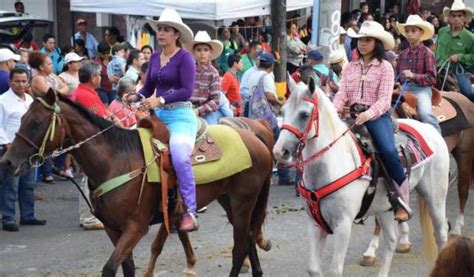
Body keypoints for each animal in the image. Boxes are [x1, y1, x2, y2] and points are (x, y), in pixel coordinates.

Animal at [0, 89, 272, 274]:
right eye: (21, 119)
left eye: (36, 122)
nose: (8, 162)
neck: (114, 160)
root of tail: (254, 136)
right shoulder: (112, 228)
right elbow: (127, 267)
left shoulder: (136, 227)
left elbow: (110, 268)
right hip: (229, 201)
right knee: (248, 238)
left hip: (243, 201)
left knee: (239, 248)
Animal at [272, 76, 450, 276]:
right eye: (282, 111)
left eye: (304, 114)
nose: (279, 152)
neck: (331, 165)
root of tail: (429, 129)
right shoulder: (315, 224)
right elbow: (313, 269)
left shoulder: (343, 225)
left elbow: (335, 270)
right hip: (385, 207)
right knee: (391, 239)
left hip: (435, 198)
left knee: (441, 233)